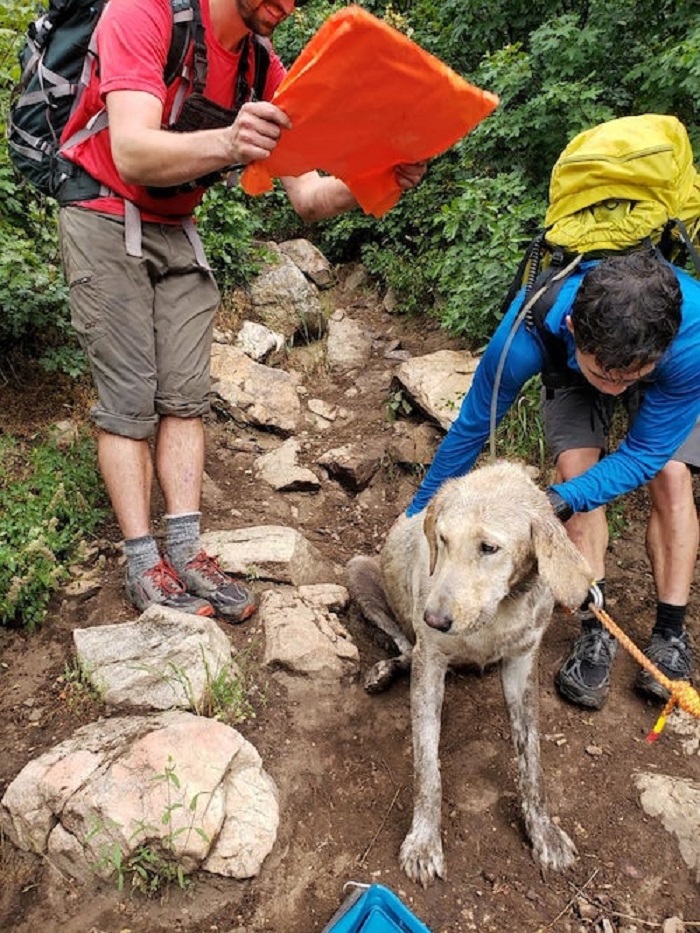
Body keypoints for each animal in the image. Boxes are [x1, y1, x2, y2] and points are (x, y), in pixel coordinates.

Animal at [348, 462, 592, 884]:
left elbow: (532, 761)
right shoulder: (431, 663)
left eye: (489, 548)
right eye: (443, 539)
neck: (494, 614)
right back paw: (385, 670)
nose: (434, 618)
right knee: (405, 646)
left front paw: (543, 832)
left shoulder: (522, 664)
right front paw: (424, 841)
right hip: (361, 571)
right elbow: (427, 767)